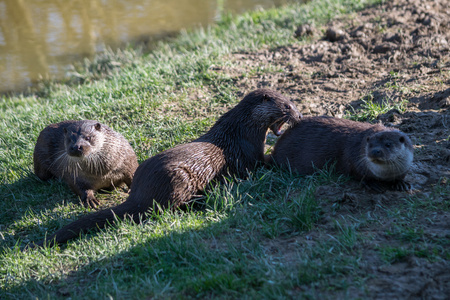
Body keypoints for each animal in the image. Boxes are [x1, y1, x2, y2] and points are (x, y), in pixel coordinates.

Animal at [36, 88, 302, 246]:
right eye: (287, 106)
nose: (299, 115)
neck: (241, 129)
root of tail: (140, 193)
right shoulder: (250, 154)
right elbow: (260, 164)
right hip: (177, 179)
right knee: (166, 209)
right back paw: (200, 199)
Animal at [268, 116, 414, 191]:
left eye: (388, 144)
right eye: (370, 145)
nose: (374, 151)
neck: (384, 175)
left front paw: (400, 183)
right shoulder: (354, 161)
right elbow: (359, 175)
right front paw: (372, 183)